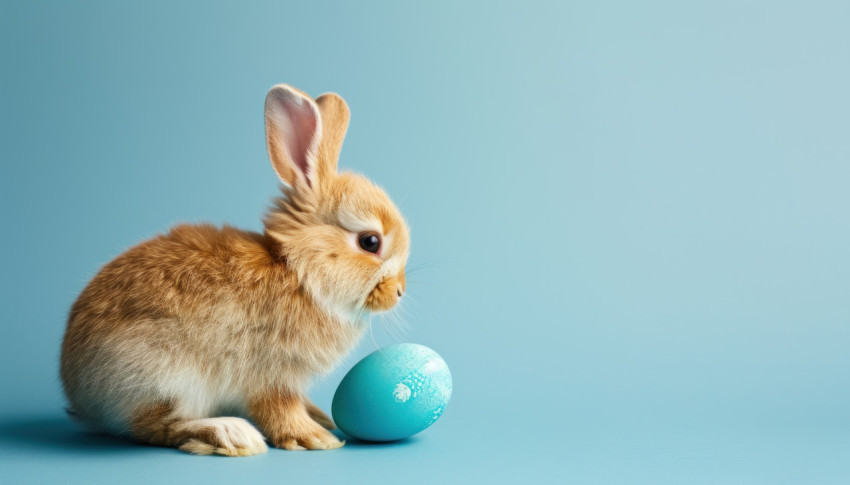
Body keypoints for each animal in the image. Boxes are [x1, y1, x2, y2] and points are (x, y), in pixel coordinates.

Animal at [58, 84, 410, 454]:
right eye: (370, 242)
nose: (399, 292)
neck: (300, 272)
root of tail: (79, 394)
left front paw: (319, 419)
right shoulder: (270, 375)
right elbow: (279, 408)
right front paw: (314, 438)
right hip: (163, 376)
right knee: (157, 427)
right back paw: (230, 433)